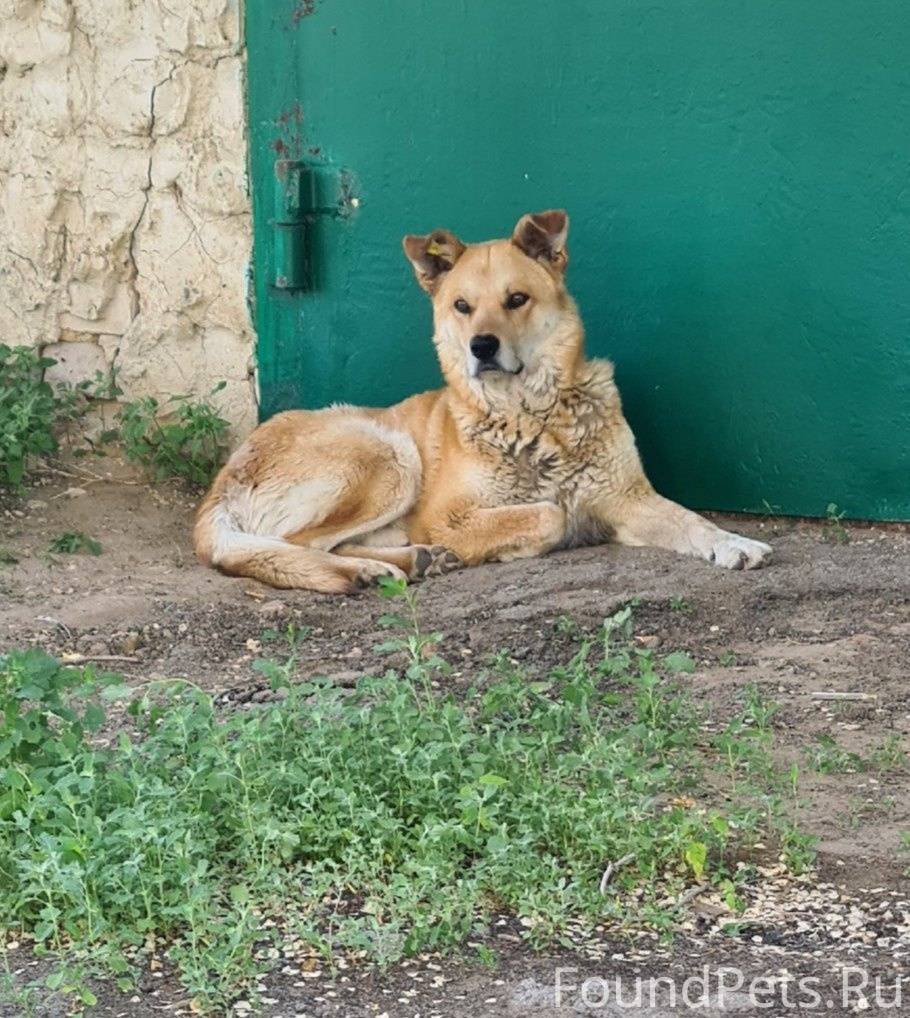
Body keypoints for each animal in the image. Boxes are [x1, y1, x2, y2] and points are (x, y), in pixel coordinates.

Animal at [195, 206, 773, 594]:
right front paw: (531, 538)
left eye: (516, 299)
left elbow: (692, 521)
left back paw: (412, 561)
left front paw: (734, 543)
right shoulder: (448, 515)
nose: (482, 347)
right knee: (300, 545)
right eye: (461, 306)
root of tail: (219, 488)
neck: (533, 418)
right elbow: (549, 512)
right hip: (388, 454)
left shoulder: (628, 498)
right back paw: (373, 569)